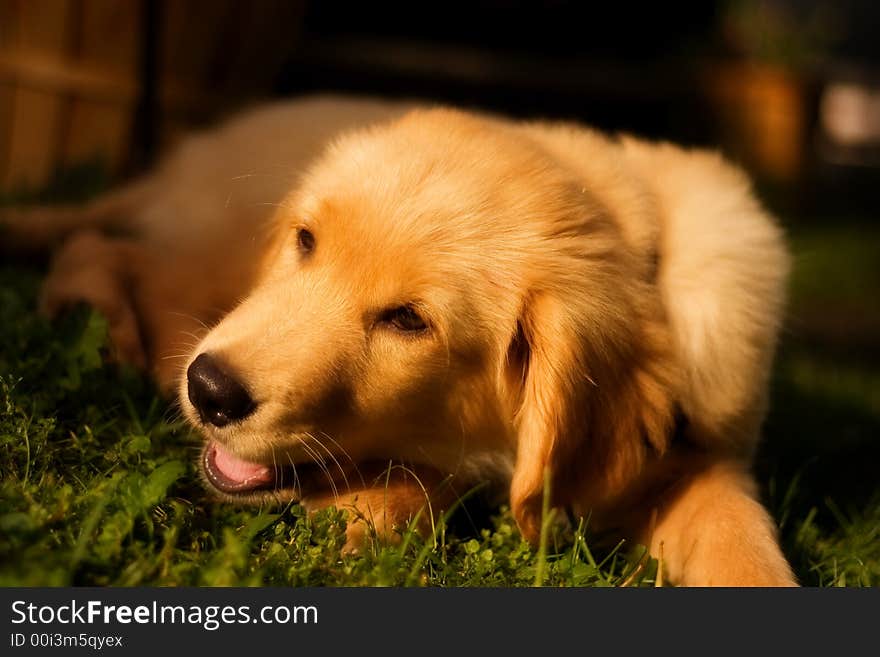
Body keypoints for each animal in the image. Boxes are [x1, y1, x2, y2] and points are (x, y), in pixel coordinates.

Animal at [1, 95, 796, 588]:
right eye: (306, 242)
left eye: (408, 321)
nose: (212, 391)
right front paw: (373, 503)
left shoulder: (707, 451)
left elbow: (740, 535)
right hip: (216, 247)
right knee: (104, 249)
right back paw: (113, 334)